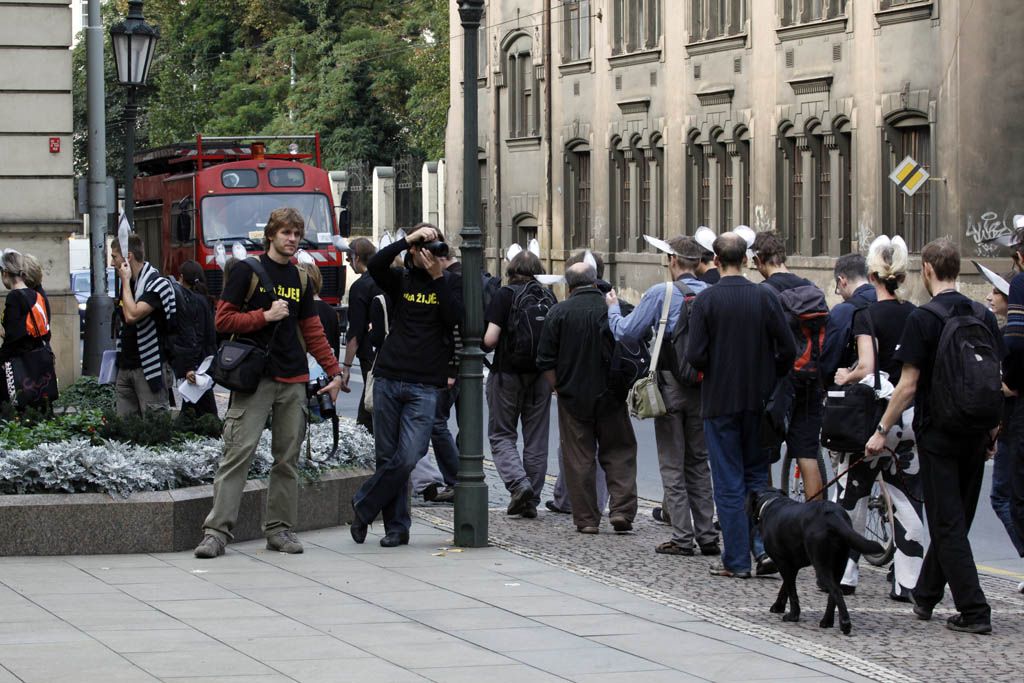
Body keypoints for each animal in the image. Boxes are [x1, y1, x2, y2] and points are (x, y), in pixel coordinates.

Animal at [748, 488, 884, 635]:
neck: (770, 502)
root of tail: (832, 514)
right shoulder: (792, 566)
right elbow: (786, 587)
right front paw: (778, 606)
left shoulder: (782, 563)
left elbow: (792, 592)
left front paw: (793, 616)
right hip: (840, 564)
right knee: (833, 593)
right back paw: (827, 621)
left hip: (821, 565)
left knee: (836, 591)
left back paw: (845, 624)